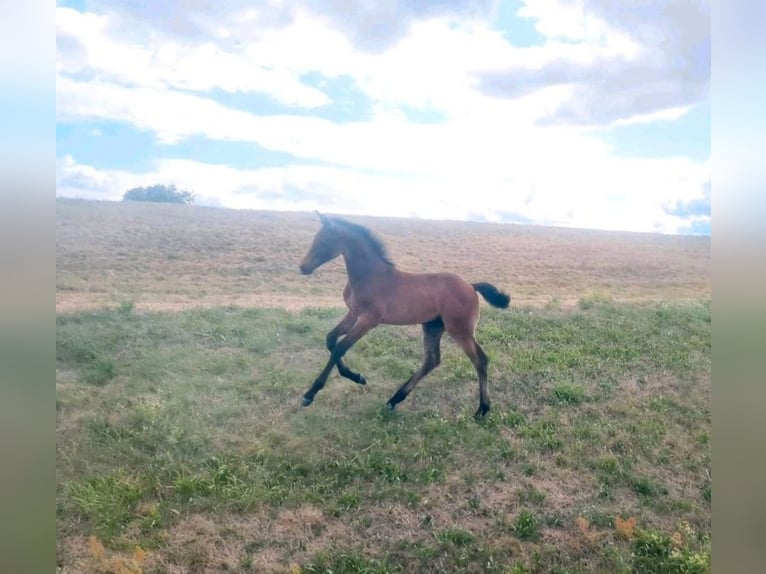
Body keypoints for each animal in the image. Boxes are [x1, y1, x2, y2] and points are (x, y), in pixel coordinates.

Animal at [298, 214, 510, 420]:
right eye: (315, 238)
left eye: (324, 241)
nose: (302, 267)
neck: (370, 276)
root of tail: (471, 286)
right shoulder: (353, 313)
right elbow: (331, 339)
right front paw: (357, 377)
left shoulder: (368, 320)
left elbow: (340, 347)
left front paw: (310, 393)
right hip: (432, 326)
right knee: (432, 360)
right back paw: (394, 400)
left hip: (460, 331)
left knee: (480, 360)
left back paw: (482, 409)